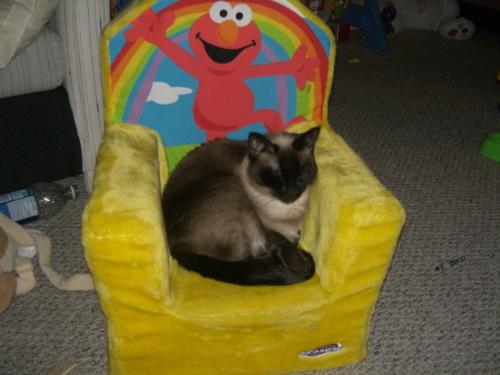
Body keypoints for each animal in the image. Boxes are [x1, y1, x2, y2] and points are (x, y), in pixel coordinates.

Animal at [164, 128, 320, 286]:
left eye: (301, 175)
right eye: (278, 175)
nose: (291, 192)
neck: (287, 212)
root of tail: (175, 247)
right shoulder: (266, 228)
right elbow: (284, 242)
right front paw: (300, 265)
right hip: (232, 187)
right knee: (244, 261)